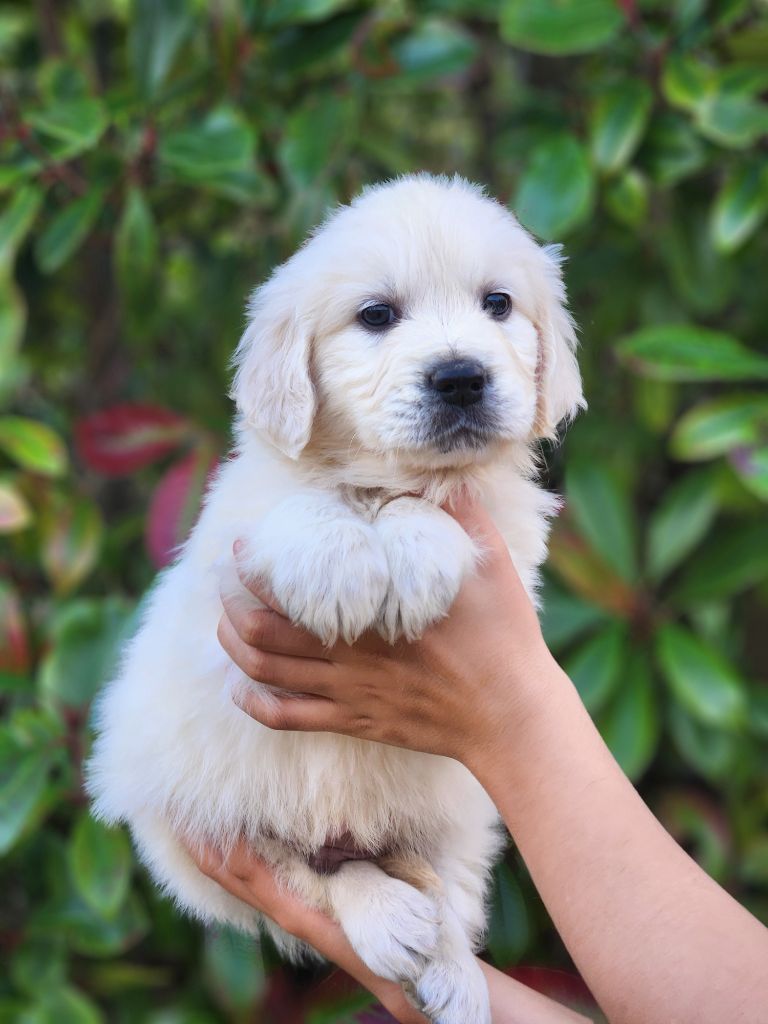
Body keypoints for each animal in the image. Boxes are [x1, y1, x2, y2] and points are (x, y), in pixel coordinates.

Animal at [86, 173, 583, 1024]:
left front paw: (414, 551)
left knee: (440, 888)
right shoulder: (228, 560)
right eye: (376, 315)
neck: (380, 479)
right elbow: (299, 503)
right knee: (312, 875)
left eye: (498, 304)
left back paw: (450, 972)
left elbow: (441, 504)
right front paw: (341, 568)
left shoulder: (508, 544)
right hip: (204, 820)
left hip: (462, 812)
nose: (460, 377)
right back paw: (388, 919)